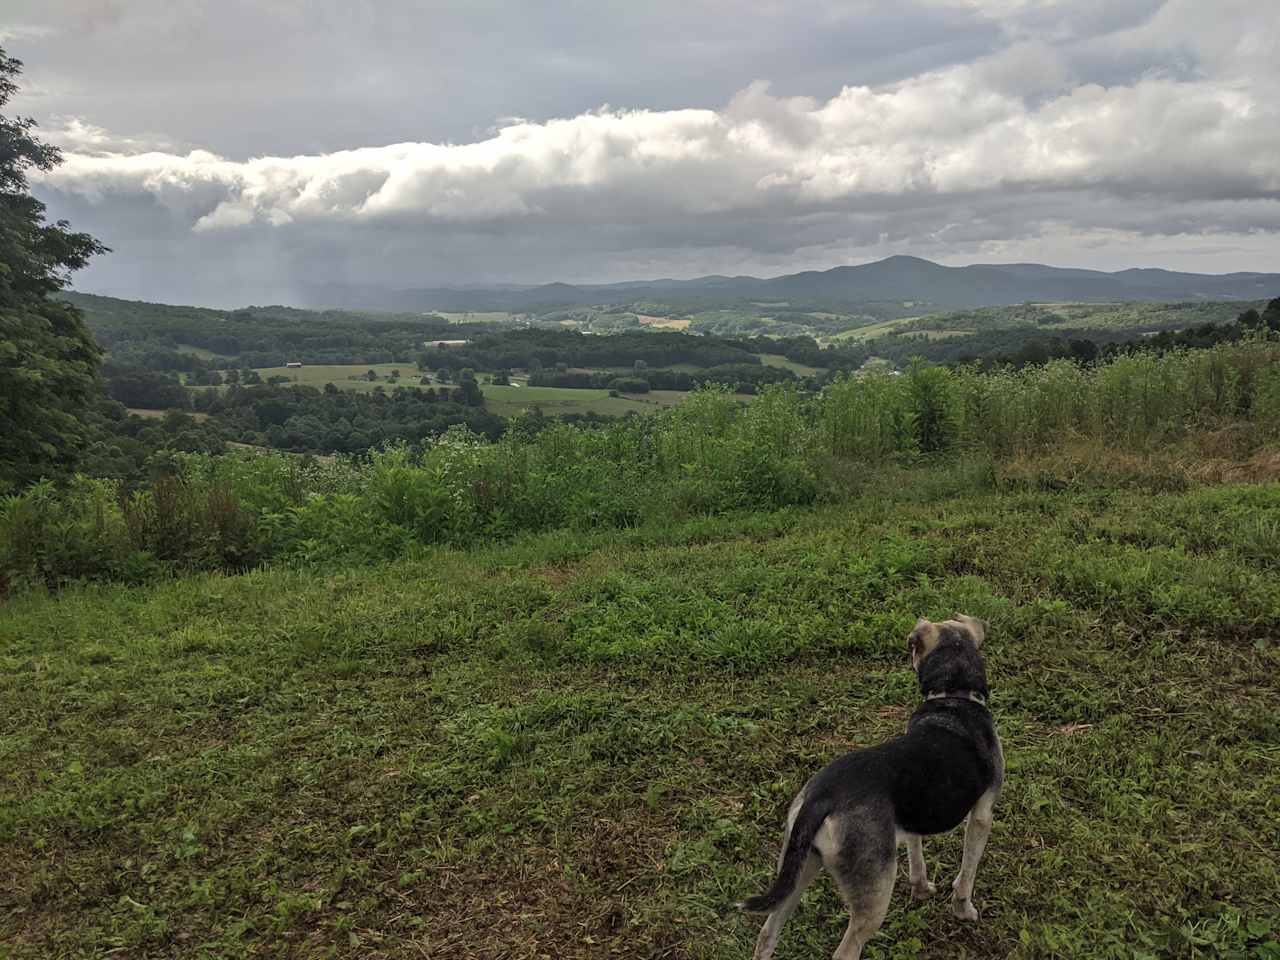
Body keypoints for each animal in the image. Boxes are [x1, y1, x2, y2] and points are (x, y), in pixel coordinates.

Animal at [742, 616, 998, 960]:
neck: (953, 696)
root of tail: (821, 797)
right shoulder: (982, 814)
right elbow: (966, 874)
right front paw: (963, 910)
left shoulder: (911, 817)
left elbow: (916, 856)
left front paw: (921, 889)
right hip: (874, 894)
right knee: (845, 950)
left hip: (799, 867)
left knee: (767, 933)